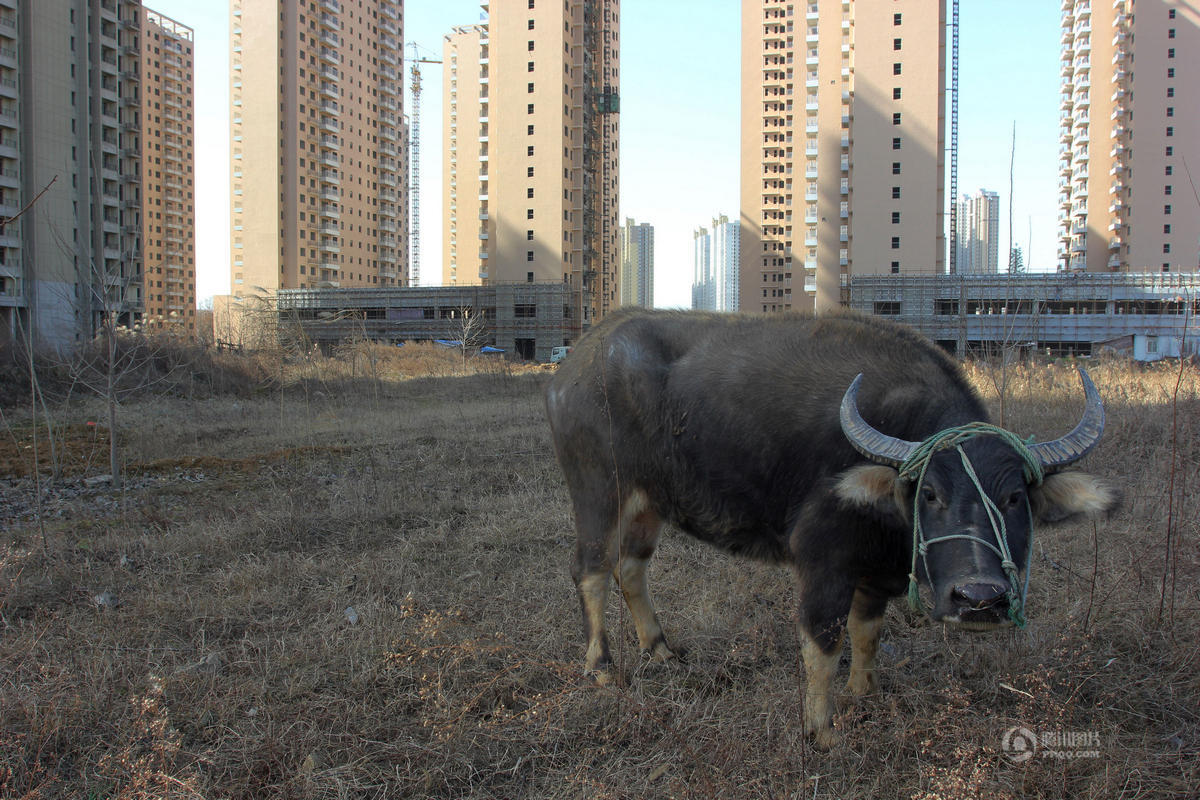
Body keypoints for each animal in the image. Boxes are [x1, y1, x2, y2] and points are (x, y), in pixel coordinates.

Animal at [544, 309, 1113, 753]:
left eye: (1015, 498)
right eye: (930, 493)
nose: (979, 599)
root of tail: (577, 361)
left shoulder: (874, 570)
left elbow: (866, 632)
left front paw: (865, 691)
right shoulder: (824, 561)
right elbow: (823, 641)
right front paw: (822, 729)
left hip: (649, 502)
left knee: (631, 567)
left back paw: (660, 648)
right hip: (597, 490)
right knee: (591, 569)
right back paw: (601, 665)